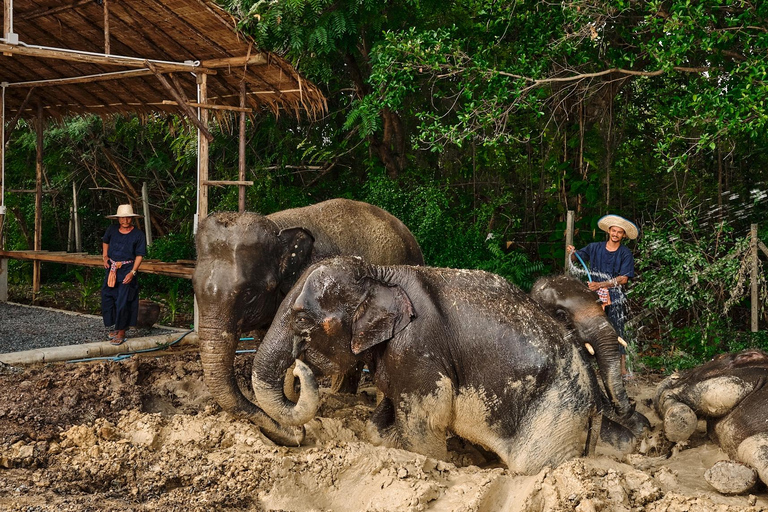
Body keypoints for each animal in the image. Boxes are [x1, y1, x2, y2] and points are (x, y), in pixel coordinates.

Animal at [249, 258, 644, 474]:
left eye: (302, 319)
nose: (297, 369)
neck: (380, 272)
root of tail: (594, 400)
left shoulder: (417, 347)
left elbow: (426, 422)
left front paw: (439, 460)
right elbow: (383, 418)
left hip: (557, 409)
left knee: (536, 464)